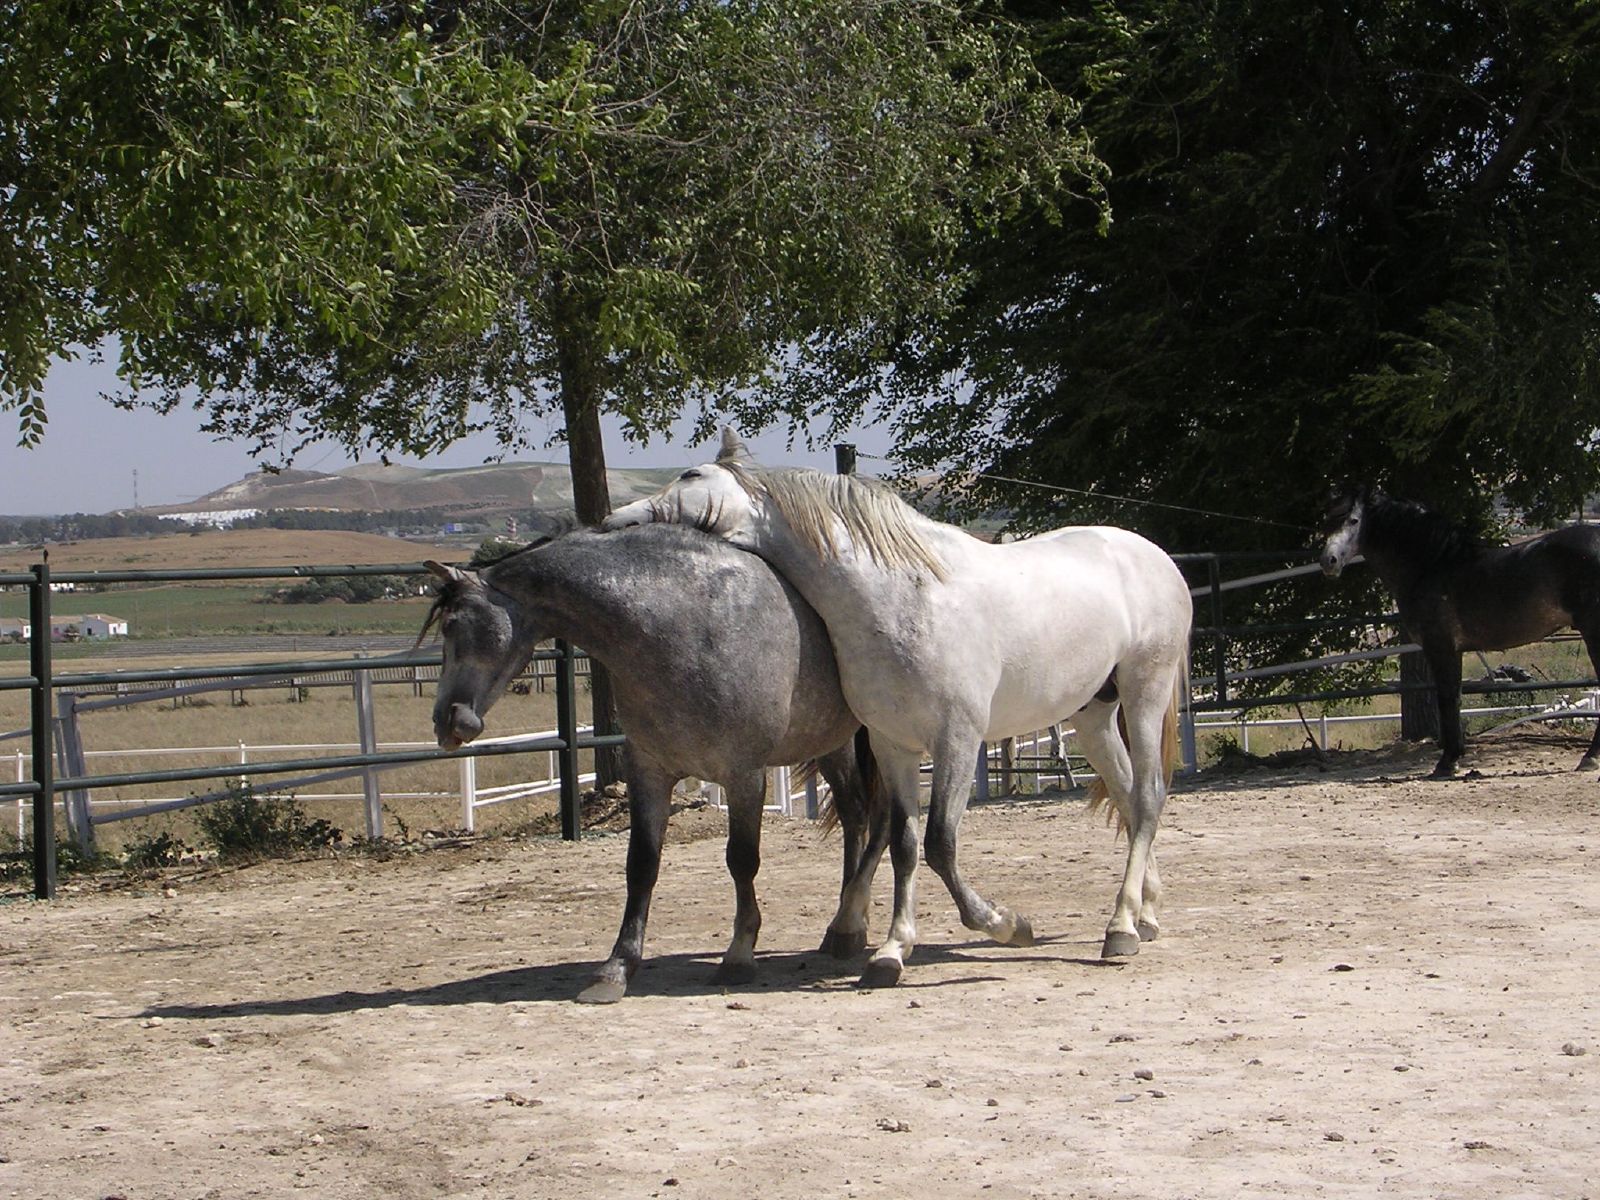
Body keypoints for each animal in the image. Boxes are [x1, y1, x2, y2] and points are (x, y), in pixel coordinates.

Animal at [425, 524, 889, 1004]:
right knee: (855, 815)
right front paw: (616, 968)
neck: (684, 626)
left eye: (452, 625)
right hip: (830, 744)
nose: (447, 720)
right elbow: (642, 864)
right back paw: (844, 927)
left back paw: (849, 929)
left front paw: (739, 954)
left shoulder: (744, 775)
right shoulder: (648, 772)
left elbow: (742, 859)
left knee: (869, 816)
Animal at [604, 432, 1196, 985]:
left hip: (1144, 692)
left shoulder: (956, 741)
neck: (904, 598)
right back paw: (1145, 915)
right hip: (1092, 715)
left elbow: (940, 845)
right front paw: (891, 952)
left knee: (1147, 796)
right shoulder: (894, 745)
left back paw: (1120, 930)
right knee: (1127, 794)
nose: (613, 519)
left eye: (691, 474)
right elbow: (906, 845)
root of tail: (1156, 557)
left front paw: (1008, 925)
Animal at [1318, 489, 1600, 780]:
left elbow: (1447, 698)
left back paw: (1590, 757)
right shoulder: (1454, 650)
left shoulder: (1440, 646)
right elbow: (1455, 697)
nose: (1329, 561)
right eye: (1325, 521)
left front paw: (1447, 762)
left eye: (1353, 520)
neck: (1430, 566)